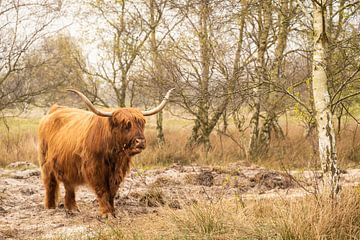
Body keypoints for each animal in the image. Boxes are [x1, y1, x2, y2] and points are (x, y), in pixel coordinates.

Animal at [38, 89, 174, 218]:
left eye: (141, 123)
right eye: (125, 125)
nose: (140, 141)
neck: (114, 155)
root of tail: (55, 109)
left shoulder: (118, 171)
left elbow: (112, 191)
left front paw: (113, 212)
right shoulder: (95, 169)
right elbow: (102, 190)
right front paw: (106, 213)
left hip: (68, 166)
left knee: (69, 186)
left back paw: (72, 209)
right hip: (46, 163)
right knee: (50, 183)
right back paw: (50, 208)